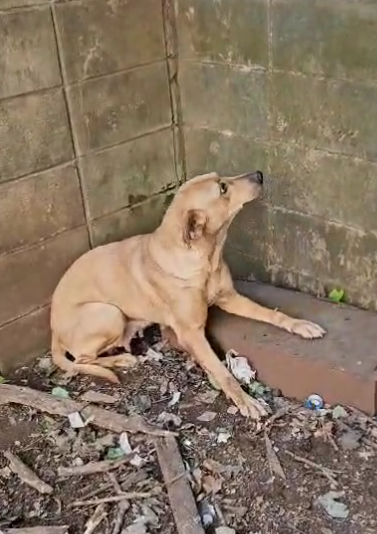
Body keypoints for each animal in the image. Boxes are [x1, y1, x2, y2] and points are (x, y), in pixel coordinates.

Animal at [51, 172, 324, 418]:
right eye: (223, 188)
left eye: (222, 179)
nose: (259, 174)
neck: (206, 257)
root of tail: (53, 330)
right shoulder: (191, 333)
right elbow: (223, 371)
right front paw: (246, 401)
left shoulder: (229, 298)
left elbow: (271, 314)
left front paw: (300, 325)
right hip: (107, 313)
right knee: (81, 360)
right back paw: (121, 360)